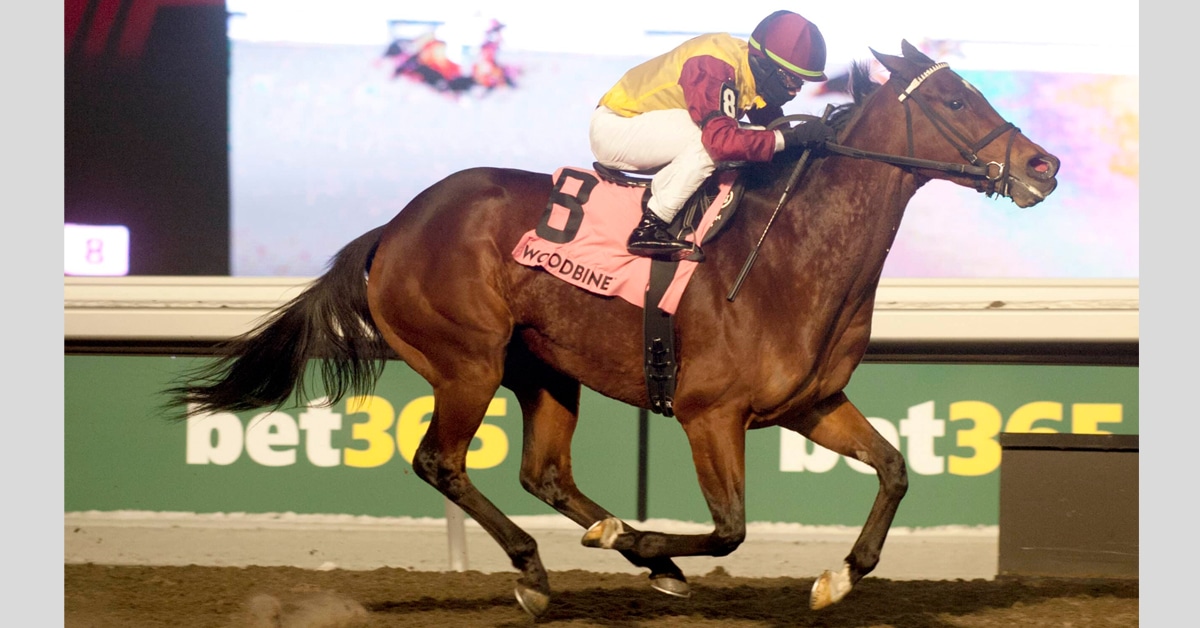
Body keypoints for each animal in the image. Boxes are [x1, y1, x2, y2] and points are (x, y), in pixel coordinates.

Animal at [168, 40, 1059, 617]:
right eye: (955, 100)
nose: (1043, 166)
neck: (790, 252)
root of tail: (393, 227)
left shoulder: (810, 404)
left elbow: (896, 470)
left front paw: (837, 577)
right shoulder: (709, 414)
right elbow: (730, 530)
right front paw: (653, 544)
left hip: (544, 370)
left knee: (544, 474)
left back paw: (616, 542)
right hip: (467, 363)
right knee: (441, 462)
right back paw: (542, 570)